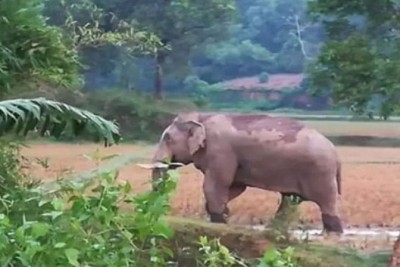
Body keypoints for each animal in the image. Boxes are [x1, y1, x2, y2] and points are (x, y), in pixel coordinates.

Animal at [147, 112, 344, 233]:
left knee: (327, 204)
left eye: (167, 138)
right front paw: (223, 214)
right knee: (289, 201)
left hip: (320, 172)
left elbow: (216, 184)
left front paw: (219, 220)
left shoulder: (221, 150)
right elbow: (235, 187)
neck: (202, 117)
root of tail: (336, 153)